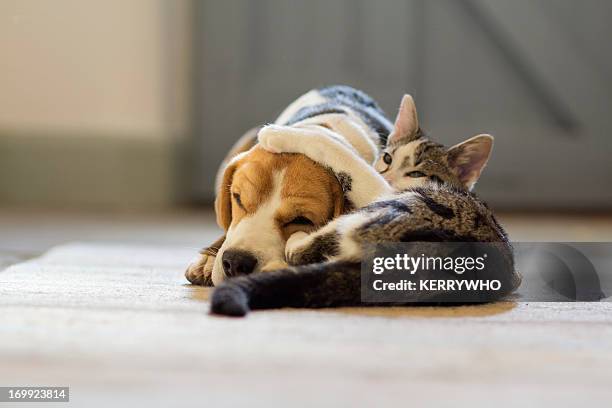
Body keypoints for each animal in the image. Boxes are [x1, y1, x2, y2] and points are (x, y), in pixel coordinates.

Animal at [210, 95, 520, 316]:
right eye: (237, 199)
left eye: (301, 218)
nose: (235, 263)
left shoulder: (375, 188)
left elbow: (336, 151)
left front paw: (278, 134)